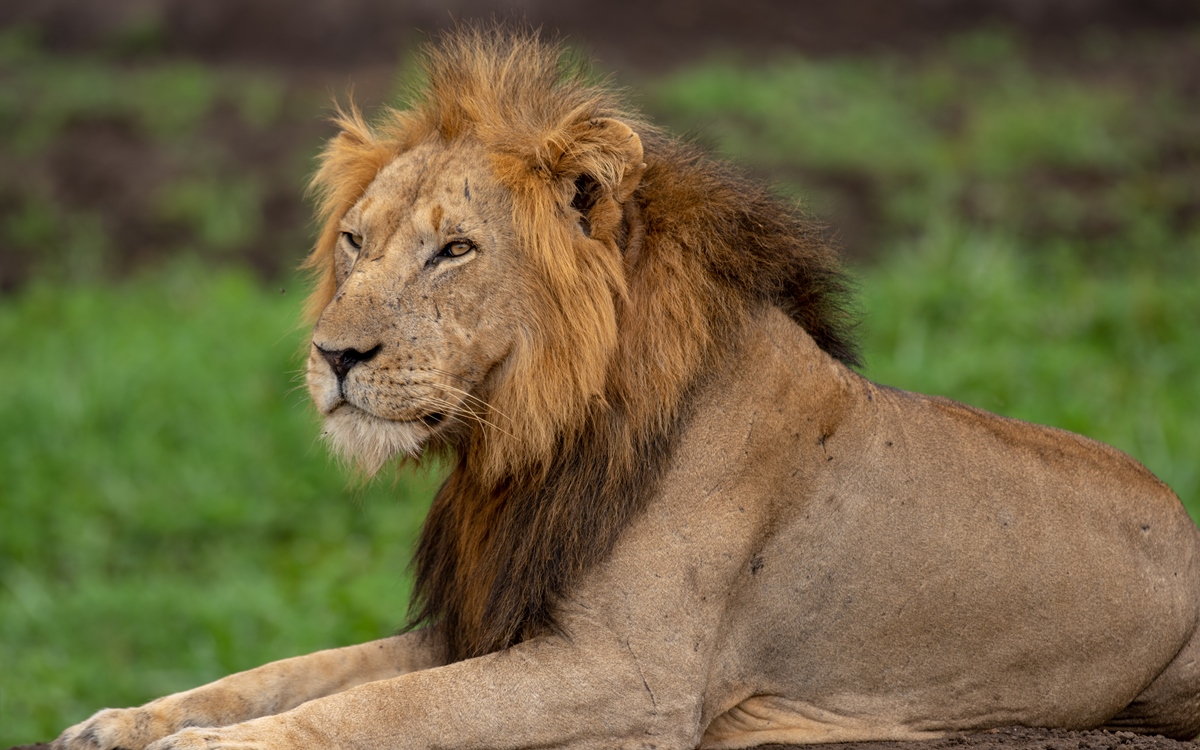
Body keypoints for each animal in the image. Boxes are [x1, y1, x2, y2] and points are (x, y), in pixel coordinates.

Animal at [51, 26, 1200, 748]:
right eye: (354, 243)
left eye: (455, 250)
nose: (334, 357)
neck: (524, 442)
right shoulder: (481, 620)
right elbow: (296, 673)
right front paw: (120, 723)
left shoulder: (629, 677)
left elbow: (373, 712)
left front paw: (197, 747)